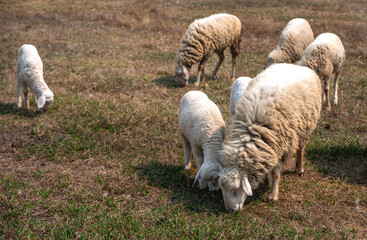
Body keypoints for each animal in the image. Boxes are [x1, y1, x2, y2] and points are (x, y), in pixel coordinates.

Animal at [218, 63, 322, 212]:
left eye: (235, 190)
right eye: (222, 190)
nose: (230, 211)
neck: (253, 131)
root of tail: (295, 65)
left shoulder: (281, 145)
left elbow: (276, 172)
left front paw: (273, 194)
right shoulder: (268, 149)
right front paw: (267, 182)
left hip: (305, 127)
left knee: (301, 149)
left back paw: (299, 168)